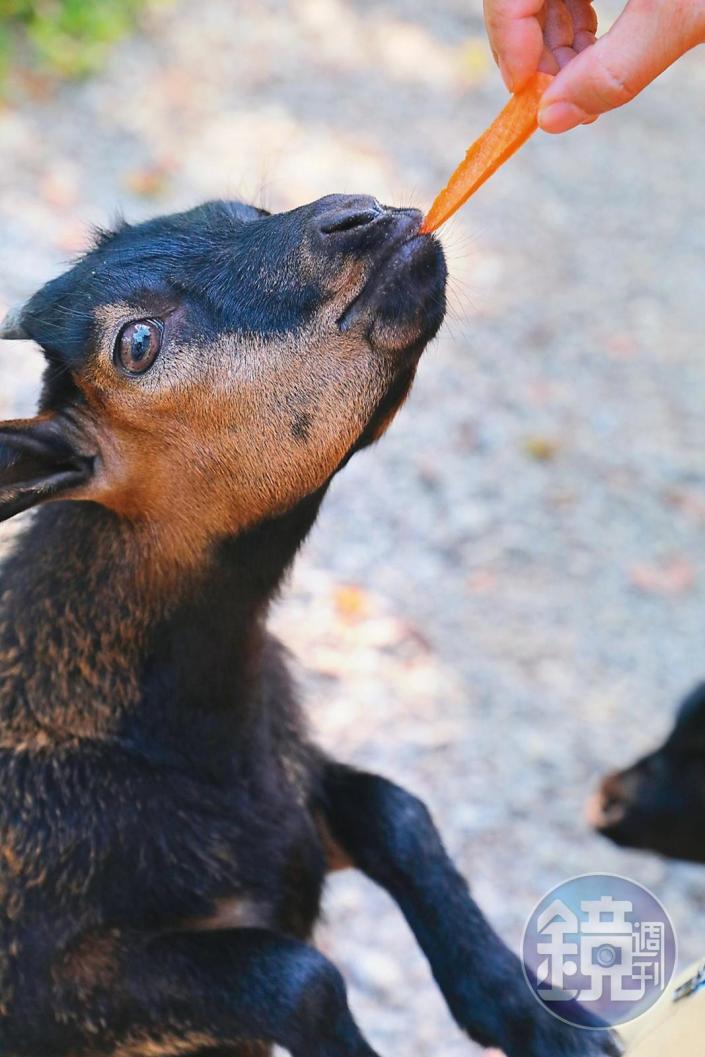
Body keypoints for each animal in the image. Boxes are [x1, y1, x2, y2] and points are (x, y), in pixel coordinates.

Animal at [0, 196, 617, 1057]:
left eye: (236, 207)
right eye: (136, 344)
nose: (356, 216)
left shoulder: (296, 806)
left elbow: (397, 810)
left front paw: (537, 1015)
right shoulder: (53, 988)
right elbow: (301, 975)